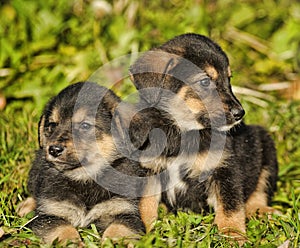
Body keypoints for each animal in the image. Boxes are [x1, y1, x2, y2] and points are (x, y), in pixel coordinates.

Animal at [17, 82, 146, 245]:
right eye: (52, 125)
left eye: (85, 126)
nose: (53, 150)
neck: (85, 178)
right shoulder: (51, 215)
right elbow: (63, 230)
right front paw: (73, 243)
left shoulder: (125, 211)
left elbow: (118, 230)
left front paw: (112, 243)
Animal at [127, 32, 278, 242]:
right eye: (205, 82)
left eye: (229, 79)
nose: (240, 113)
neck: (184, 131)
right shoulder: (149, 170)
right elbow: (144, 205)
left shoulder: (224, 169)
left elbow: (230, 207)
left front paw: (232, 236)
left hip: (265, 147)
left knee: (259, 188)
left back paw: (261, 211)